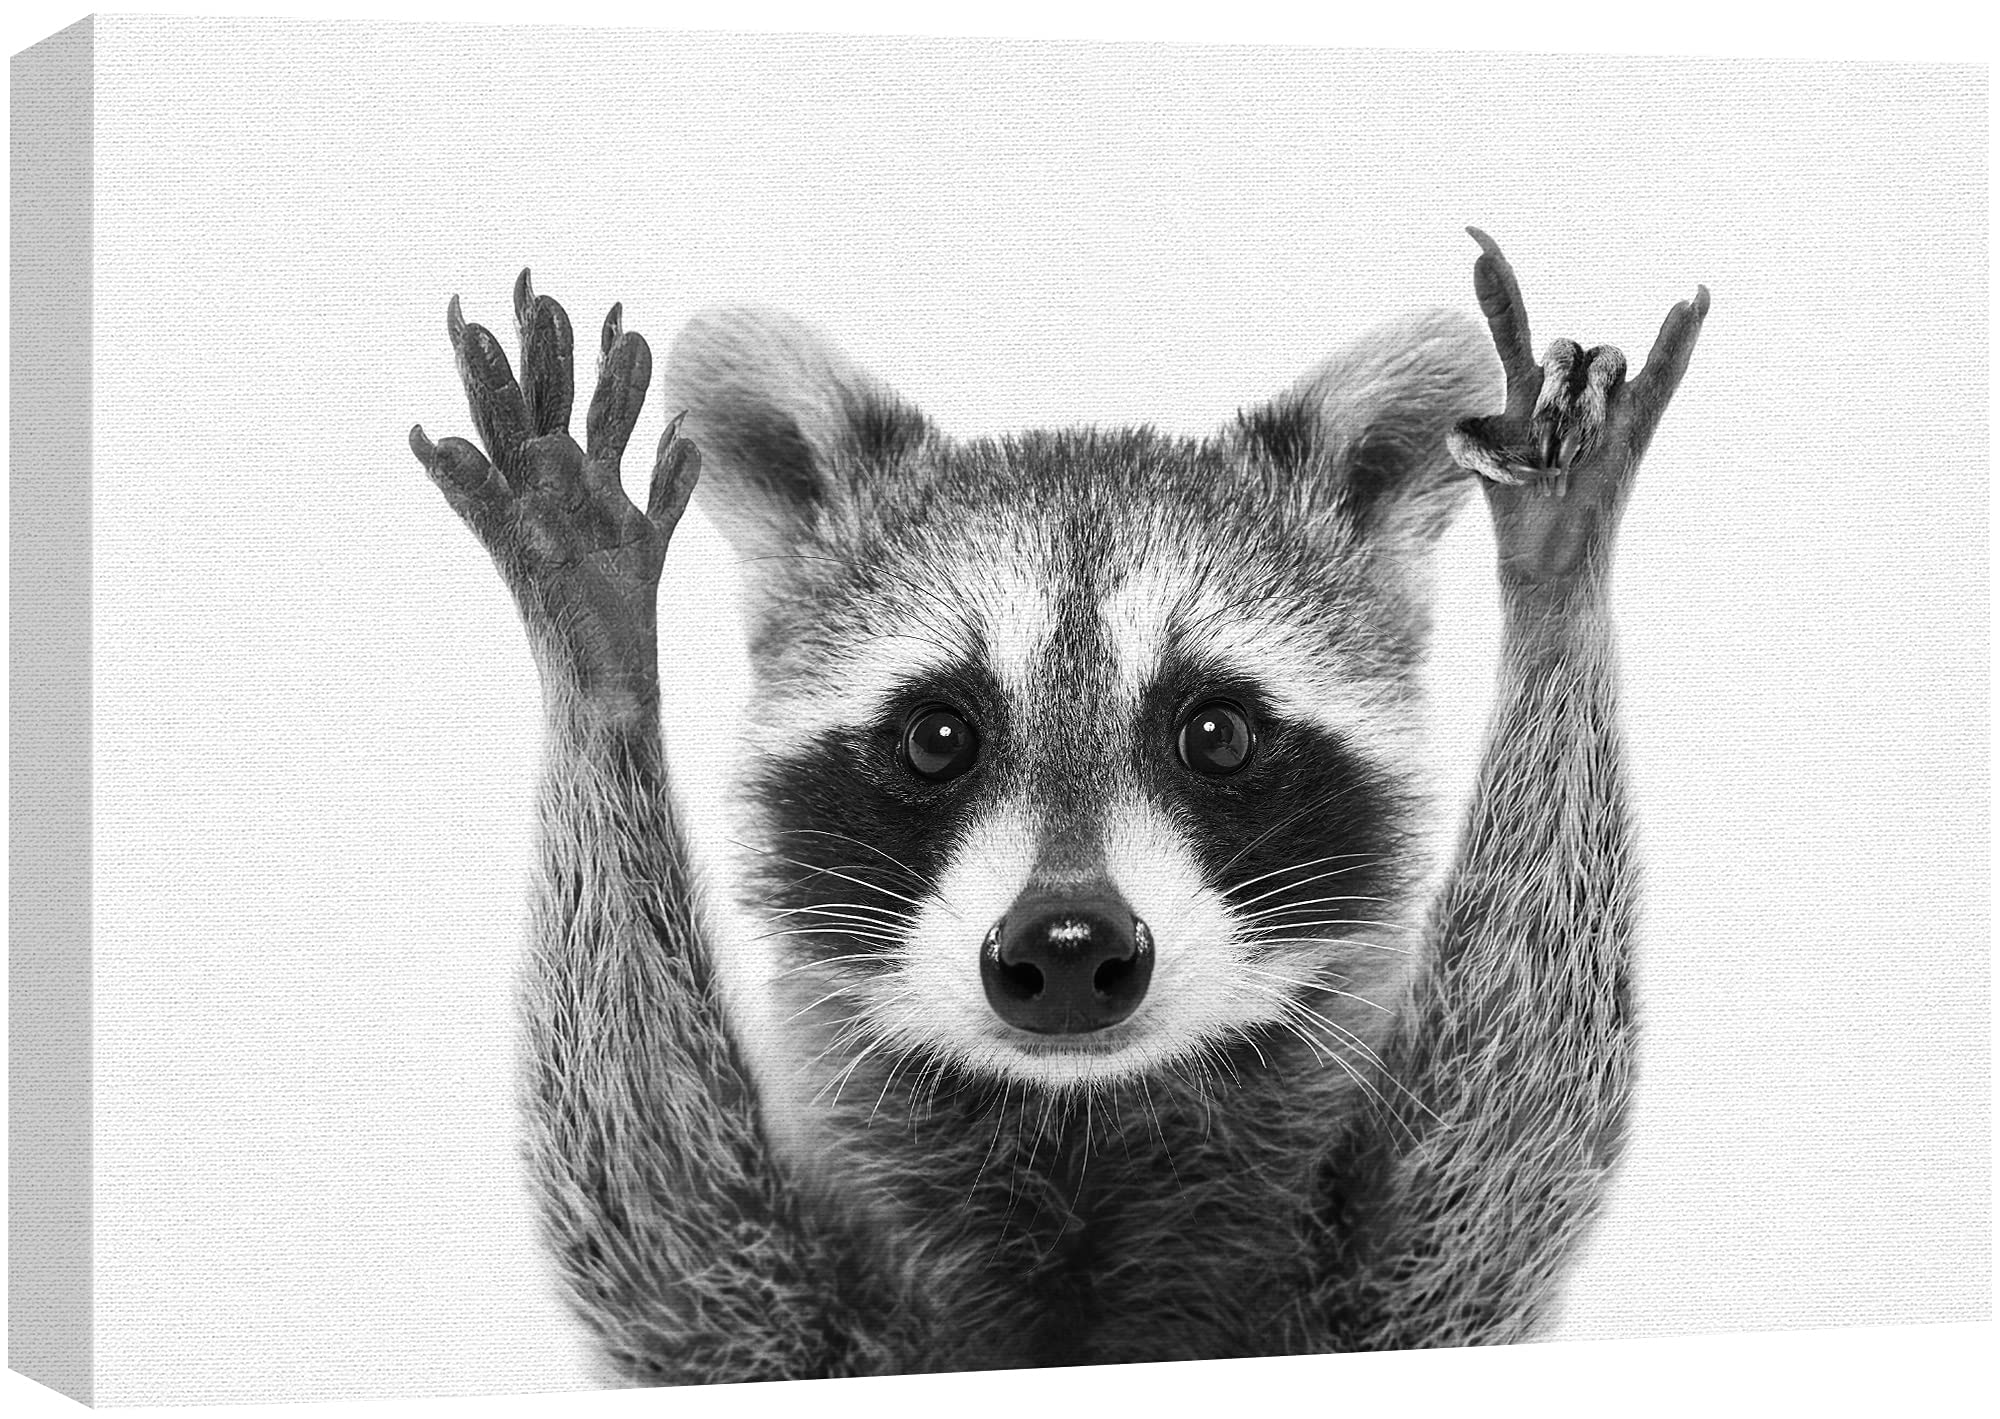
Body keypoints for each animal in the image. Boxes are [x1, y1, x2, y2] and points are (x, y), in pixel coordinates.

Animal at [408, 231, 1707, 1380]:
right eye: (937, 737)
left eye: (1215, 734)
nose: (1069, 944)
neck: (1078, 1130)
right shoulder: (775, 1323)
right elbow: (660, 1232)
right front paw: (596, 647)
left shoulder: (1386, 1306)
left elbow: (1500, 1155)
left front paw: (1555, 576)